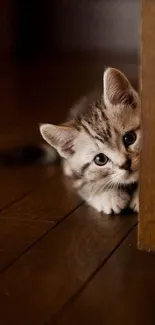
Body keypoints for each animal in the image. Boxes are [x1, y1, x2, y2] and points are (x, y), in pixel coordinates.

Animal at [39, 67, 141, 215]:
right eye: (100, 159)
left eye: (130, 138)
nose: (125, 164)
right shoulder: (79, 178)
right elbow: (86, 184)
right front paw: (107, 196)